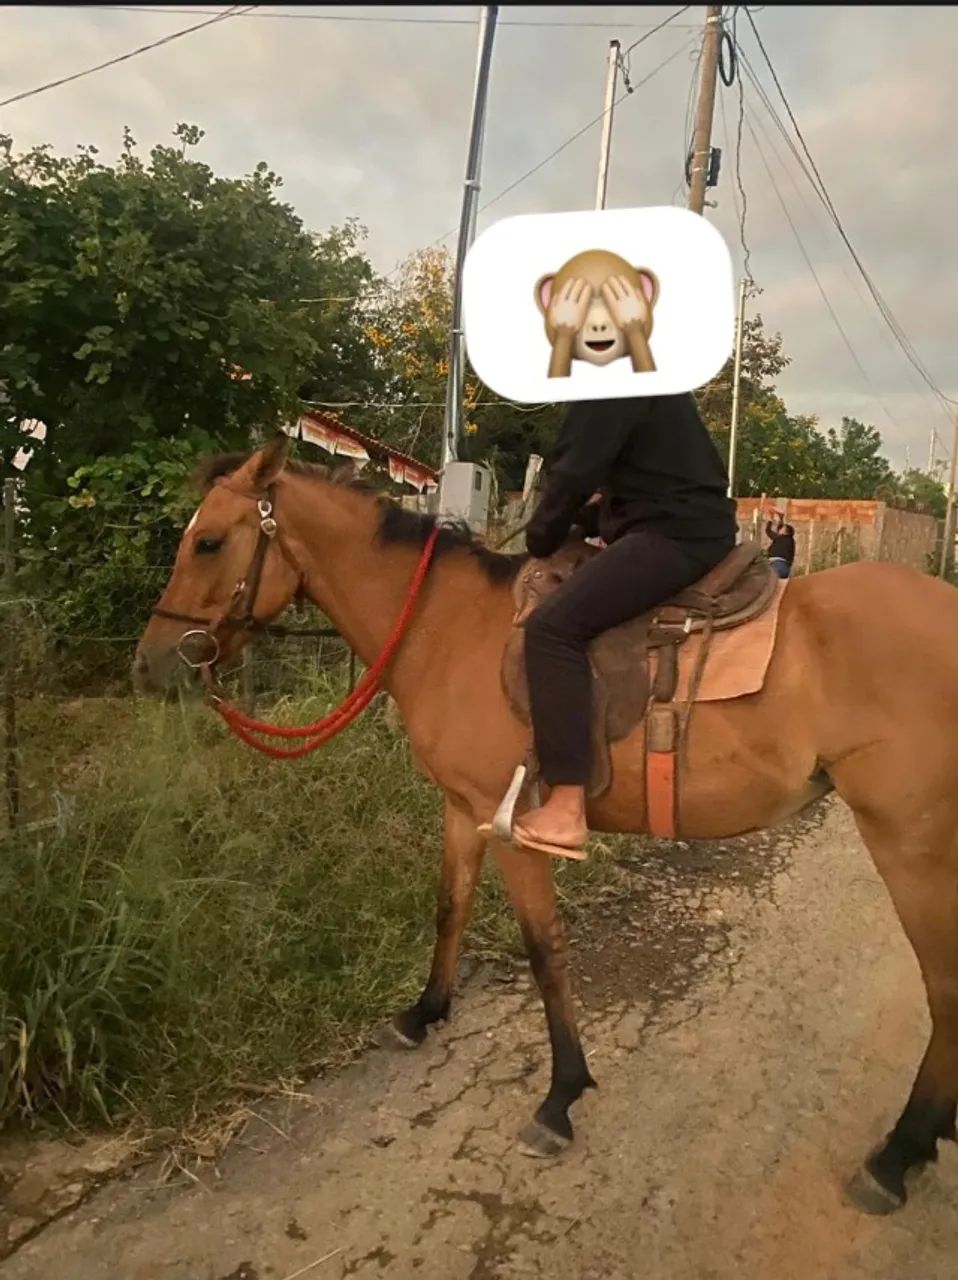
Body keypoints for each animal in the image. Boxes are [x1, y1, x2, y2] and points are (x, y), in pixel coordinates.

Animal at [133, 434, 958, 1216]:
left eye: (209, 542)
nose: (149, 666)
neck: (445, 627)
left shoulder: (514, 827)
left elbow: (544, 951)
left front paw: (559, 1098)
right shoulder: (463, 809)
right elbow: (450, 908)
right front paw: (423, 1014)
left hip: (911, 844)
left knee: (943, 984)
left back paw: (896, 1157)